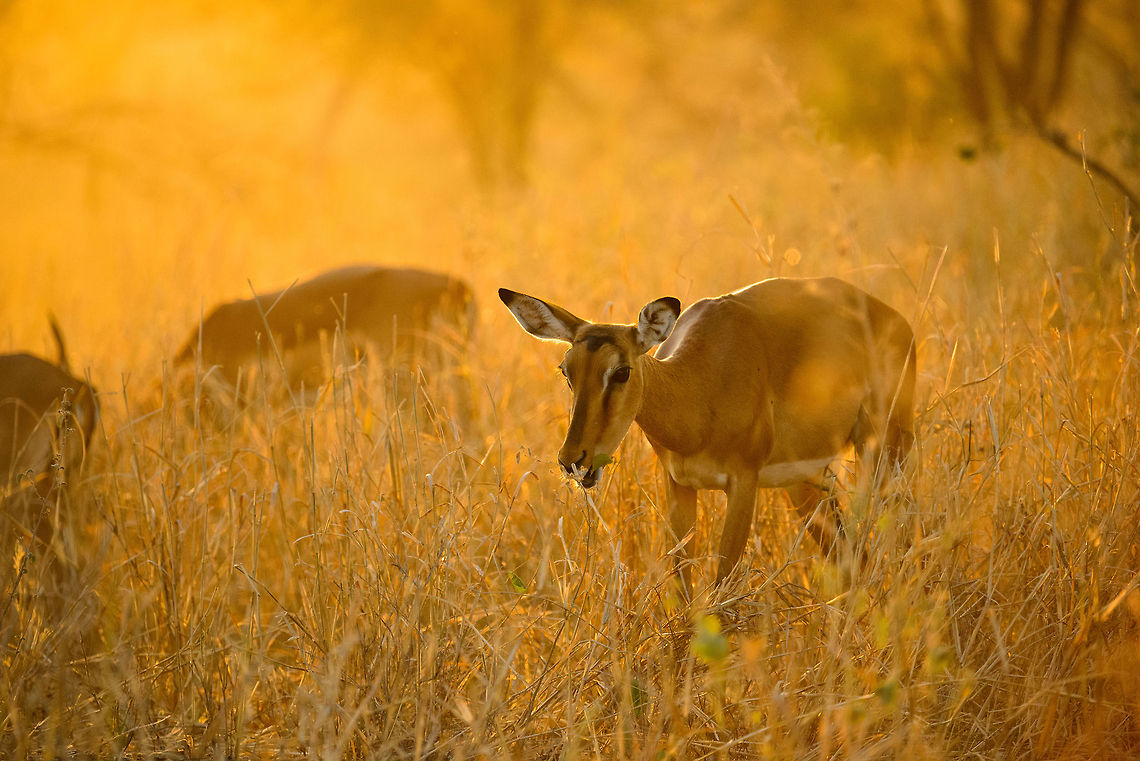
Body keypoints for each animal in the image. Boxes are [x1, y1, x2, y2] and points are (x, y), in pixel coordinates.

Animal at [500, 277, 915, 586]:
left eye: (620, 371)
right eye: (566, 370)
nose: (574, 460)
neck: (700, 389)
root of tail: (896, 319)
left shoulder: (744, 483)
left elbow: (721, 590)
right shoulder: (679, 484)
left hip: (885, 452)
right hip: (807, 481)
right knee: (852, 559)